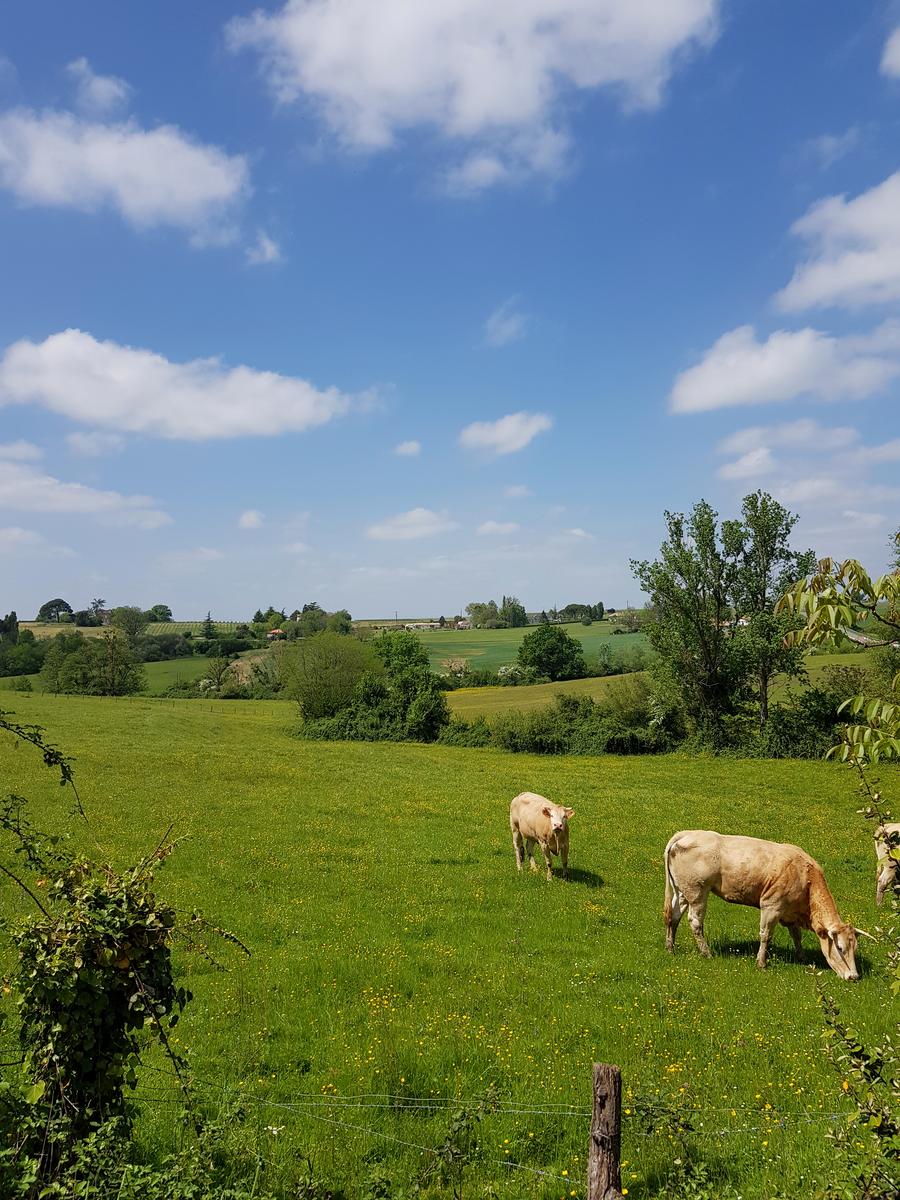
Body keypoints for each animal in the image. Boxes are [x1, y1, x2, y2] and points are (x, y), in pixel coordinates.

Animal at [662, 830, 868, 979]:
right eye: (840, 948)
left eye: (855, 948)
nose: (854, 977)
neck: (806, 878)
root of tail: (686, 833)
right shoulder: (771, 906)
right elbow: (766, 935)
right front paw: (761, 963)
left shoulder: (789, 913)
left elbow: (797, 936)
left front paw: (802, 957)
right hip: (698, 892)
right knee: (695, 922)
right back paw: (707, 953)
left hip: (683, 891)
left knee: (674, 917)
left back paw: (670, 948)